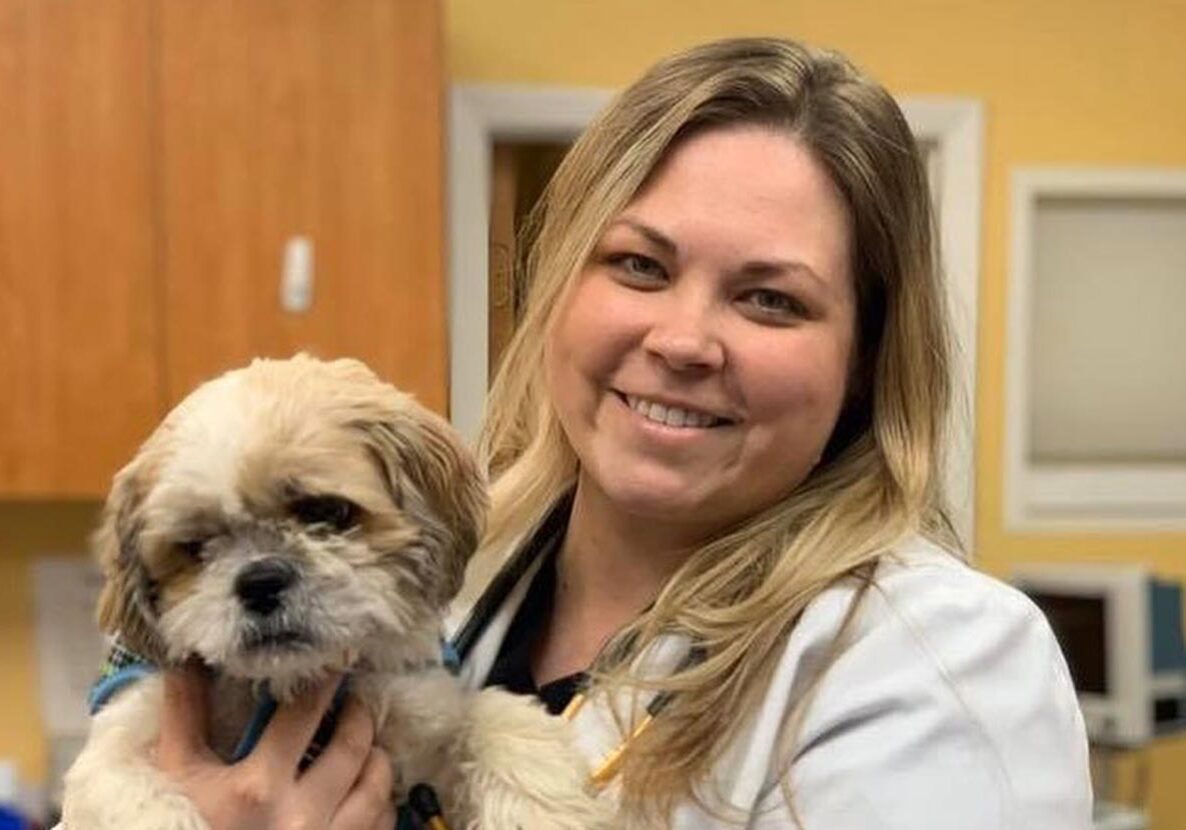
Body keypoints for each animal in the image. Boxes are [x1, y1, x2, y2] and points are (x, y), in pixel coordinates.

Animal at [60, 355, 607, 830]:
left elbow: (492, 715)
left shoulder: (420, 743)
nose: (259, 580)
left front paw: (539, 808)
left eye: (327, 512)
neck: (288, 690)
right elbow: (127, 792)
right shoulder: (122, 737)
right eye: (195, 547)